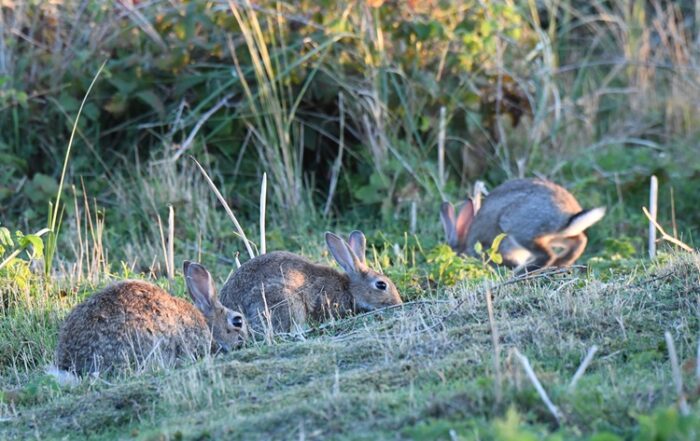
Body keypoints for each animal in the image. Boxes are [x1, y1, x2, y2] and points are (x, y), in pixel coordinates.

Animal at [442, 179, 608, 272]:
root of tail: (567, 213)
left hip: (517, 227)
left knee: (547, 255)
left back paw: (520, 274)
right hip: (555, 235)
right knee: (579, 241)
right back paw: (560, 264)